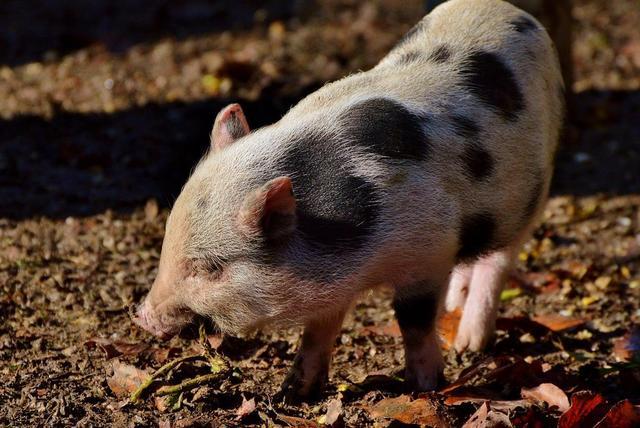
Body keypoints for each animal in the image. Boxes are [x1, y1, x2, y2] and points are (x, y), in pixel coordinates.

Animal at [135, 0, 564, 398]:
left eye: (209, 268)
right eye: (167, 242)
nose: (143, 316)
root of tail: (510, 10)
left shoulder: (430, 250)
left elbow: (413, 319)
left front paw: (425, 385)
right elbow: (318, 329)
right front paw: (293, 392)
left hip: (529, 193)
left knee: (498, 259)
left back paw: (469, 343)